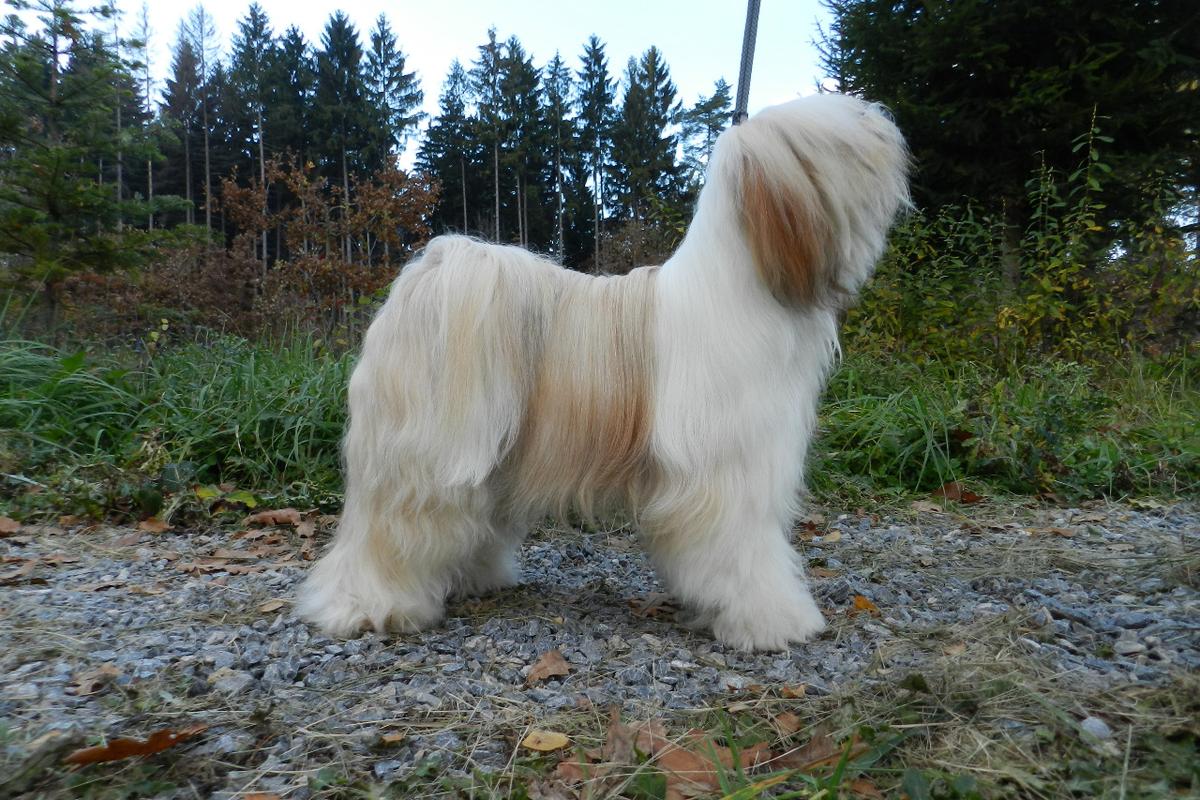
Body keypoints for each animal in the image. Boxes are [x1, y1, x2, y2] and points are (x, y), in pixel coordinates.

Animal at [302, 94, 907, 652]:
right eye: (844, 143)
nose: (886, 129)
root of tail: (431, 276)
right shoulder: (729, 476)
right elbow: (745, 555)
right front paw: (770, 621)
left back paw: (478, 579)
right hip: (422, 459)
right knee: (390, 533)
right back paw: (369, 606)